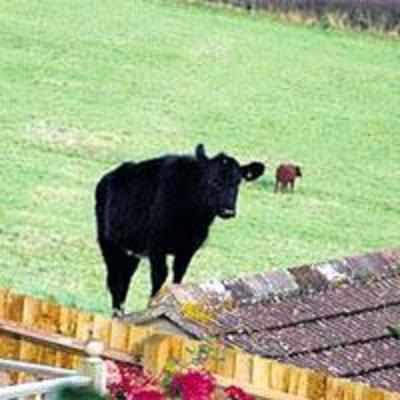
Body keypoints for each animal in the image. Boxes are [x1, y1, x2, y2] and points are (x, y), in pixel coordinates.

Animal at [94, 144, 266, 316]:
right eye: (213, 180)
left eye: (237, 182)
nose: (228, 211)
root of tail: (108, 177)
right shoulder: (156, 247)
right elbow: (159, 277)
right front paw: (153, 305)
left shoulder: (187, 249)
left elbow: (178, 278)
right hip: (108, 243)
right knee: (115, 281)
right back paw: (117, 314)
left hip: (131, 251)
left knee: (124, 279)